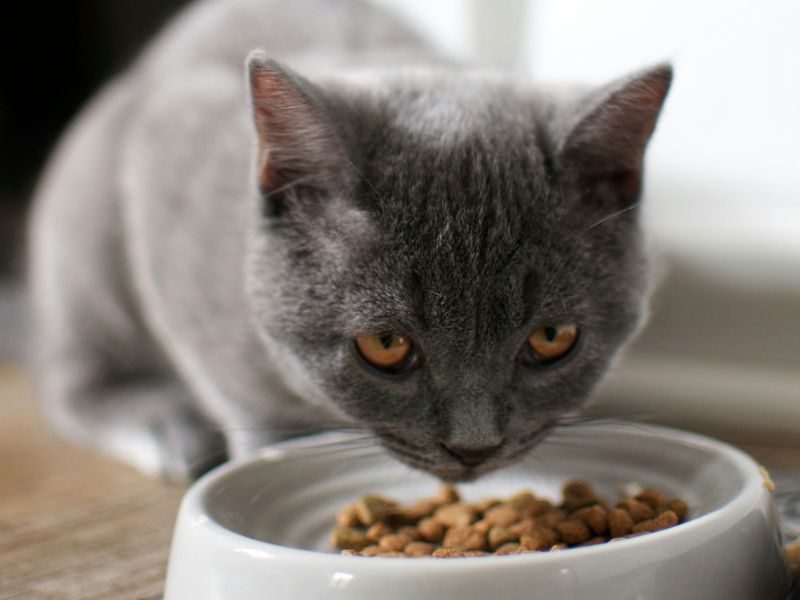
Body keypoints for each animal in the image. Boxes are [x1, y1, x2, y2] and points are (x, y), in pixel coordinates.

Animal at [28, 0, 672, 480]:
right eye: (385, 345)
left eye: (552, 338)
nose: (474, 448)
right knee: (72, 378)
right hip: (85, 225)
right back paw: (161, 426)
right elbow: (242, 397)